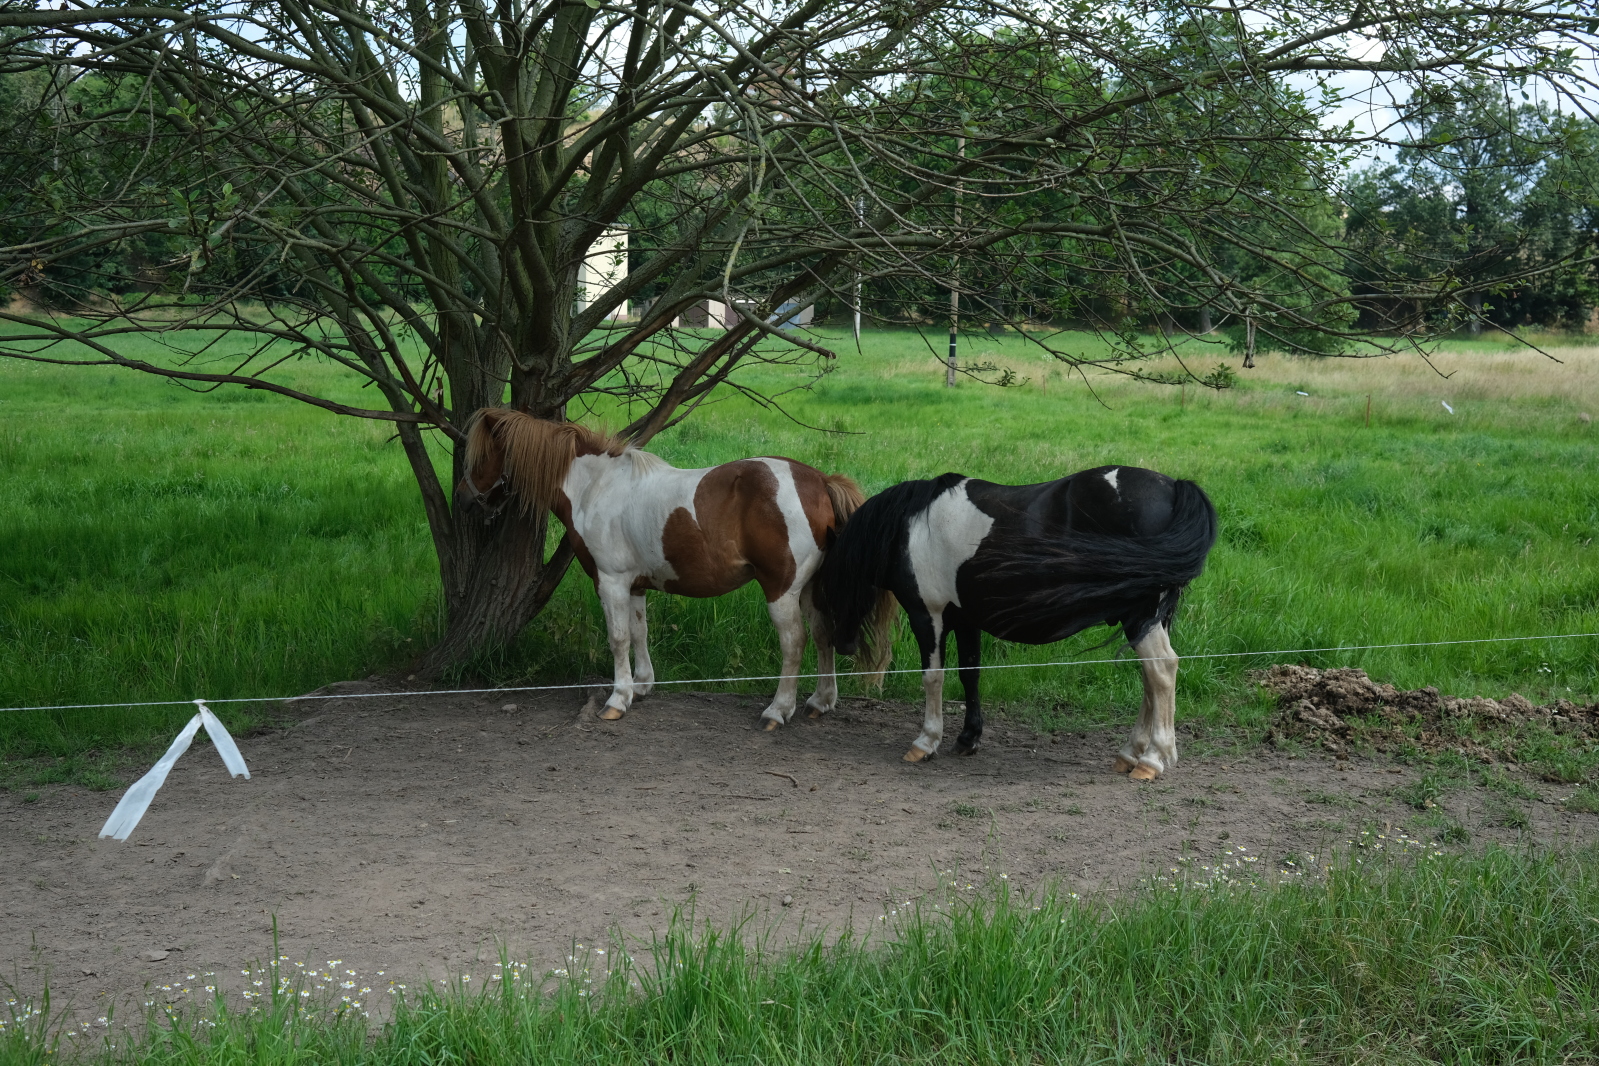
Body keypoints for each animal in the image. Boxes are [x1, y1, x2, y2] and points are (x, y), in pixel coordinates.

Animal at [459, 409, 893, 726]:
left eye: (480, 456)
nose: (464, 498)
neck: (595, 488)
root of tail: (819, 480)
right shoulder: (635, 585)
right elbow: (639, 633)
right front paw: (641, 686)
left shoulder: (611, 583)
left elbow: (618, 638)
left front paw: (617, 698)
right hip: (811, 589)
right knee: (823, 635)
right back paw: (820, 701)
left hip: (781, 590)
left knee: (794, 642)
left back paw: (777, 710)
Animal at [817, 466, 1217, 780]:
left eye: (836, 581)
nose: (844, 644)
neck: (912, 527)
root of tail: (1173, 488)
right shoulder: (965, 619)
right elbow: (969, 674)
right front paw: (968, 739)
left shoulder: (926, 614)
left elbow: (933, 677)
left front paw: (926, 741)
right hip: (1150, 620)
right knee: (1152, 680)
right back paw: (1130, 754)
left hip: (1140, 618)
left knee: (1162, 670)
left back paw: (1153, 759)